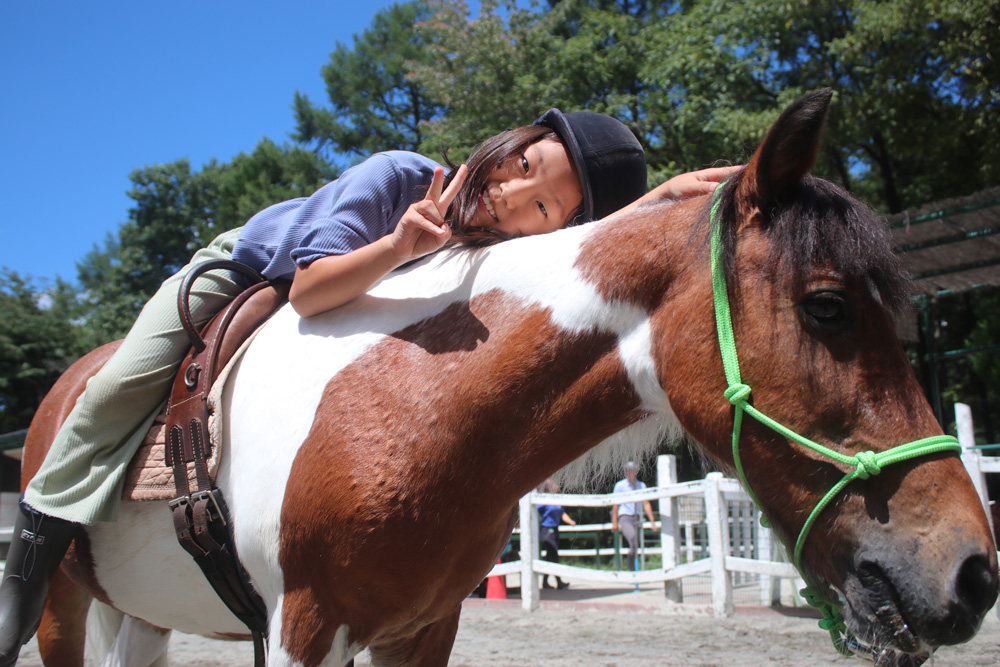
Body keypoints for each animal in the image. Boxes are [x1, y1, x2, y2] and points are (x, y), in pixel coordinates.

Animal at [19, 90, 996, 667]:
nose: (974, 574)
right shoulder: (301, 629)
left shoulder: (420, 630)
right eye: (827, 305)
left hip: (143, 615)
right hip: (62, 606)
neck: (411, 398)